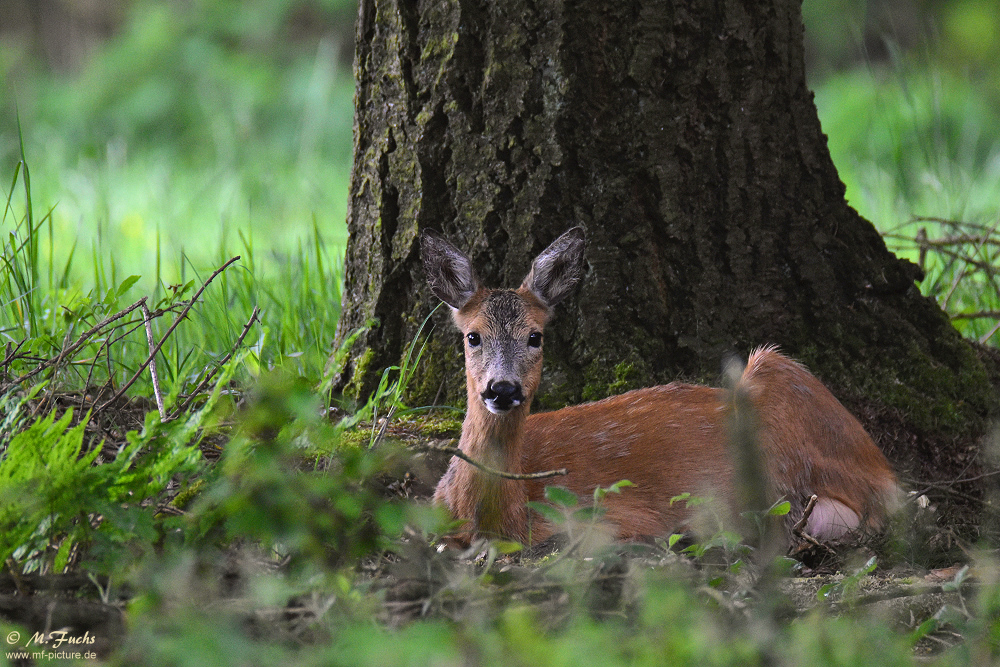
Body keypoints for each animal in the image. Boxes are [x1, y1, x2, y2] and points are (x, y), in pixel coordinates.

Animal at [418, 227, 904, 544]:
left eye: (535, 336)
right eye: (472, 336)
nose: (502, 389)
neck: (503, 512)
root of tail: (882, 467)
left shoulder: (611, 517)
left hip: (777, 380)